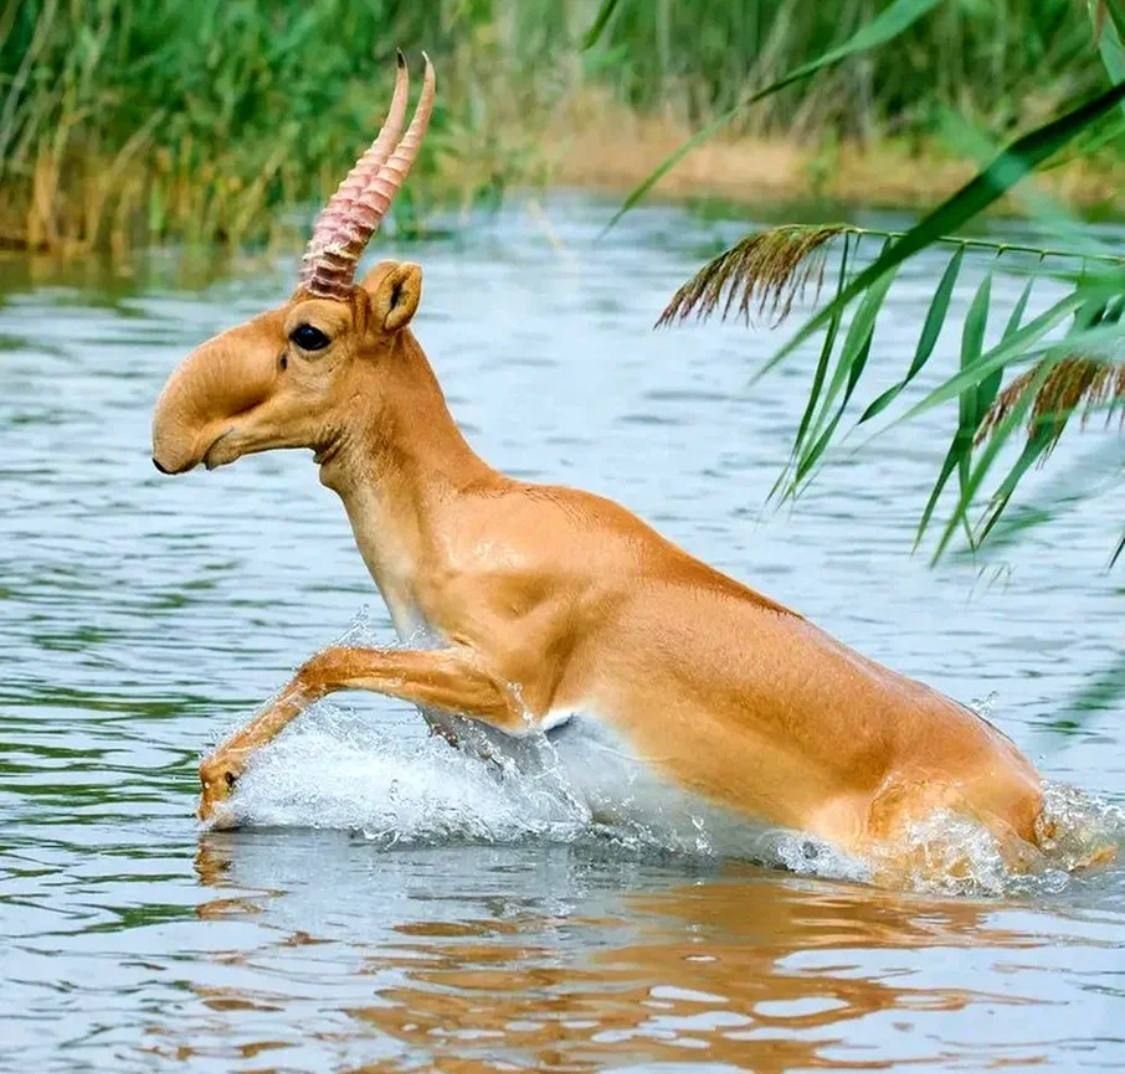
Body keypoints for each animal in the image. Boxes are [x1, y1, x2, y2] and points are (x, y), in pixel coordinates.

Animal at [149, 54, 1044, 872]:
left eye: (309, 333)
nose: (173, 438)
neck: (467, 516)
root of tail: (1036, 802)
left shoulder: (503, 683)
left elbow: (330, 657)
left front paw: (221, 780)